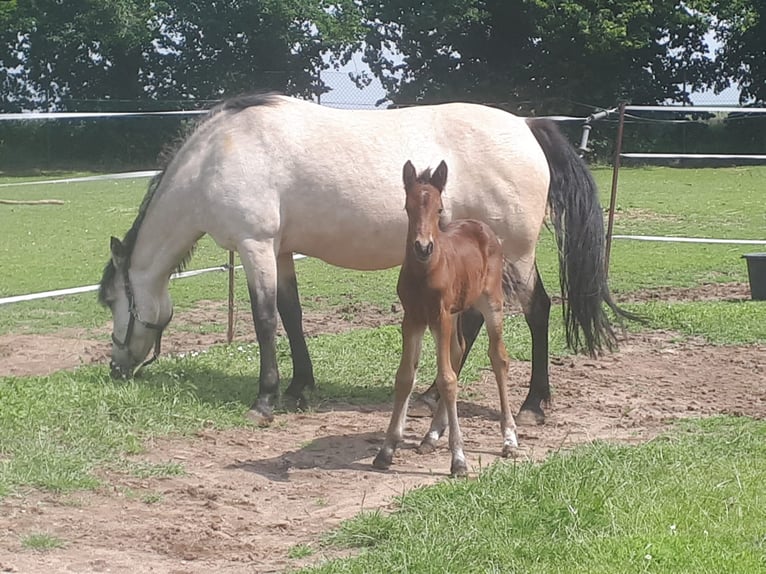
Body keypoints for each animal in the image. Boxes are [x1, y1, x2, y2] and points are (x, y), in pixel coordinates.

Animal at [99, 93, 632, 428]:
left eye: (109, 301)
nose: (116, 368)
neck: (218, 154)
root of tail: (525, 127)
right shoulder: (281, 250)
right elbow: (292, 315)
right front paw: (300, 389)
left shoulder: (256, 245)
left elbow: (265, 320)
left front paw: (266, 399)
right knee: (476, 318)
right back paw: (432, 395)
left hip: (516, 253)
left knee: (537, 310)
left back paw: (533, 405)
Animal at [374, 160, 520, 480]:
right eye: (407, 207)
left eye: (439, 209)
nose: (422, 247)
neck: (425, 272)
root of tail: (482, 226)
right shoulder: (413, 319)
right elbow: (406, 377)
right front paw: (386, 450)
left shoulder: (439, 317)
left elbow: (447, 380)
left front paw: (459, 460)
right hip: (453, 314)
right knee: (458, 350)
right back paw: (431, 436)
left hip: (490, 303)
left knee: (498, 357)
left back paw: (510, 439)